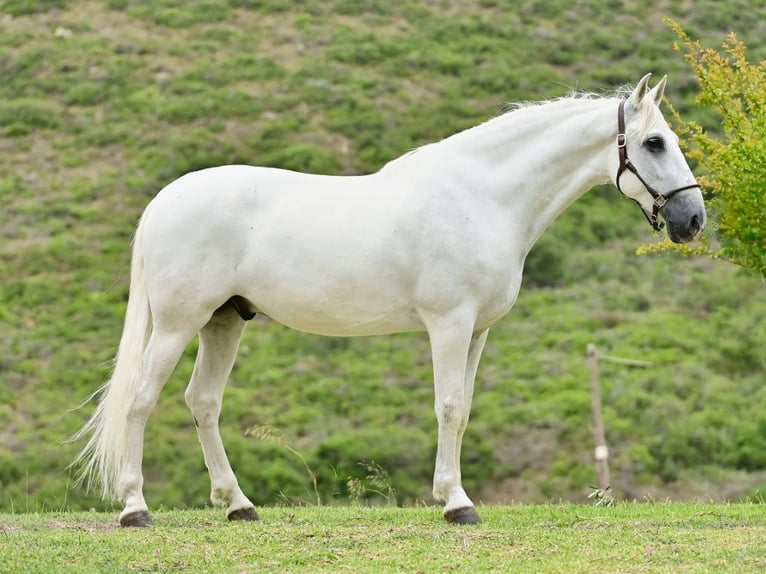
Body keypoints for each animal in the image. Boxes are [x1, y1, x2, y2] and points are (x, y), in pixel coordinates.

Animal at [73, 74, 708, 528]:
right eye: (654, 142)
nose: (693, 219)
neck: (482, 196)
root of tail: (164, 200)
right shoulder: (449, 325)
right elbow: (448, 407)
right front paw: (456, 504)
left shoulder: (477, 332)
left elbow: (464, 408)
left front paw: (453, 494)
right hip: (178, 324)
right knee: (141, 401)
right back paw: (135, 509)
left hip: (224, 322)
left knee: (202, 403)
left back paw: (239, 505)